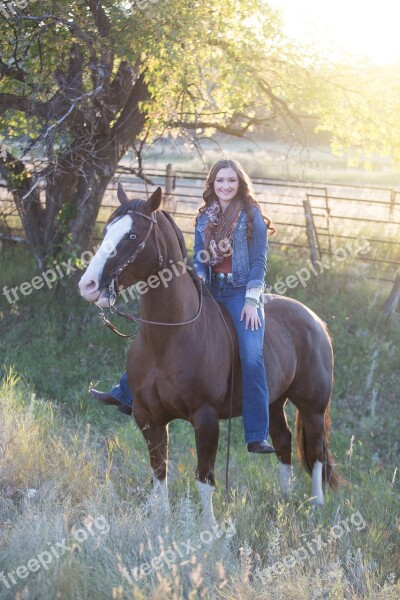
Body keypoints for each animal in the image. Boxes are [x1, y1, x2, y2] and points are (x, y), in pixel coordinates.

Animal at [79, 185, 340, 524]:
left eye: (133, 236)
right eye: (107, 230)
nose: (88, 285)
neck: (170, 337)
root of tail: (316, 321)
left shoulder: (205, 419)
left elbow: (204, 478)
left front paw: (209, 528)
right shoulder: (148, 418)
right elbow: (159, 473)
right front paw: (162, 520)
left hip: (312, 406)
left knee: (317, 452)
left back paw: (316, 506)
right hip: (273, 401)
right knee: (283, 442)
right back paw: (284, 500)